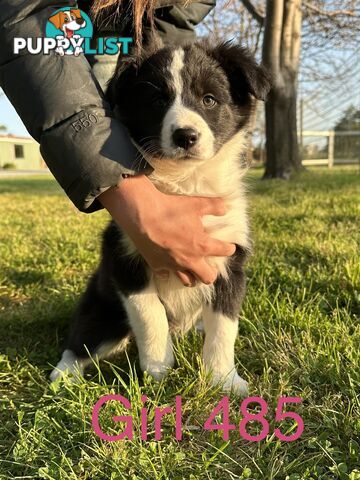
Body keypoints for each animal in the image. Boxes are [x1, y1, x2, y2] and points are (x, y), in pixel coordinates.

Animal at [51, 40, 270, 394]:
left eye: (209, 99)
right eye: (156, 102)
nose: (185, 136)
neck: (185, 182)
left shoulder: (230, 261)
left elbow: (223, 327)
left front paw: (223, 379)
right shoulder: (125, 258)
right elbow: (149, 313)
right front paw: (158, 369)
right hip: (104, 314)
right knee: (81, 341)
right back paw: (64, 376)